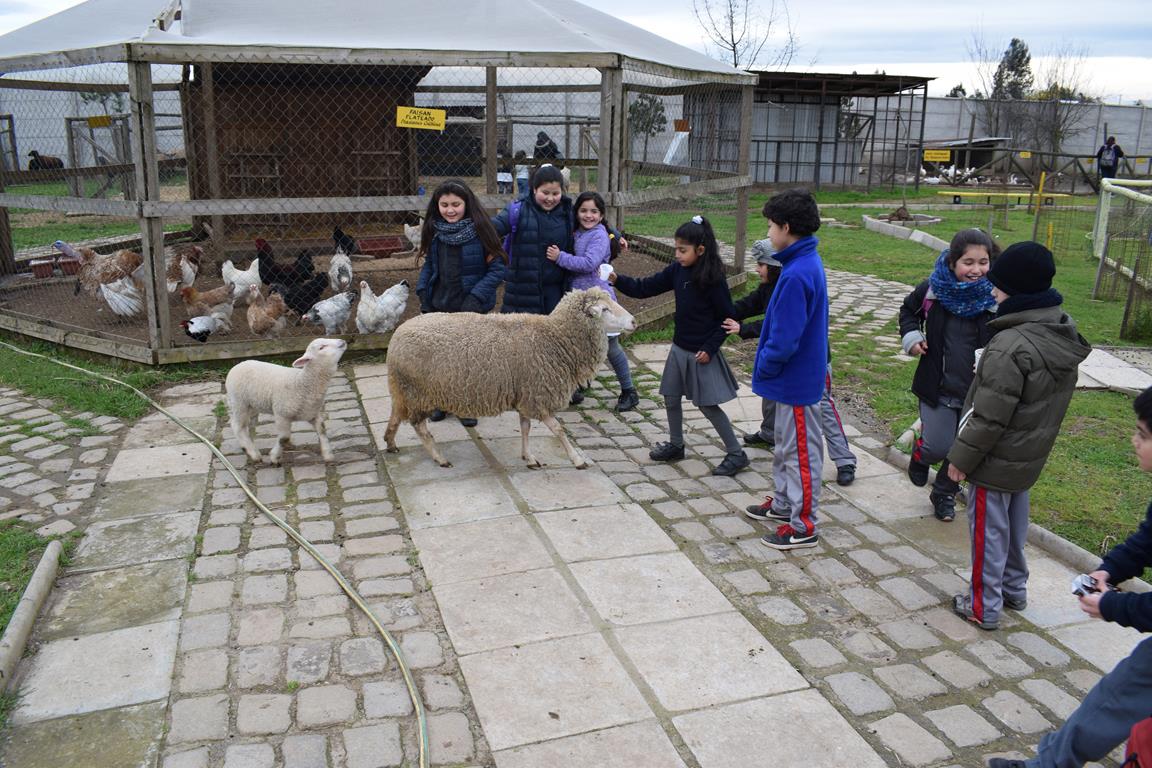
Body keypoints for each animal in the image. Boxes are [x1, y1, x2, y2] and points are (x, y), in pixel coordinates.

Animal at [387, 286, 640, 469]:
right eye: (605, 309)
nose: (634, 322)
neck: (555, 338)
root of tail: (395, 339)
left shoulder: (526, 394)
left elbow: (526, 427)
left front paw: (529, 457)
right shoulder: (538, 395)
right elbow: (558, 429)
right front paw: (577, 459)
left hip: (403, 391)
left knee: (395, 417)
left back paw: (390, 443)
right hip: (418, 393)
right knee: (419, 427)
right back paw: (439, 457)